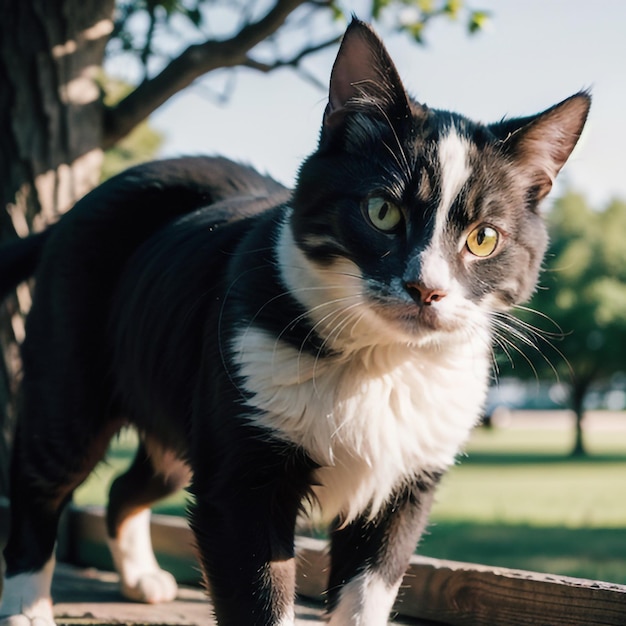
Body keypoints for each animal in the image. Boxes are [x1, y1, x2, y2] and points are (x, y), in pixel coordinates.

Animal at [0, 17, 584, 624]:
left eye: (484, 238)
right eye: (382, 211)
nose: (427, 288)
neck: (378, 364)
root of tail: (79, 205)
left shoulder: (406, 486)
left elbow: (368, 593)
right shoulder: (243, 483)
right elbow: (257, 592)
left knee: (126, 485)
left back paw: (140, 577)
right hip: (72, 380)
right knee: (38, 480)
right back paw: (27, 605)